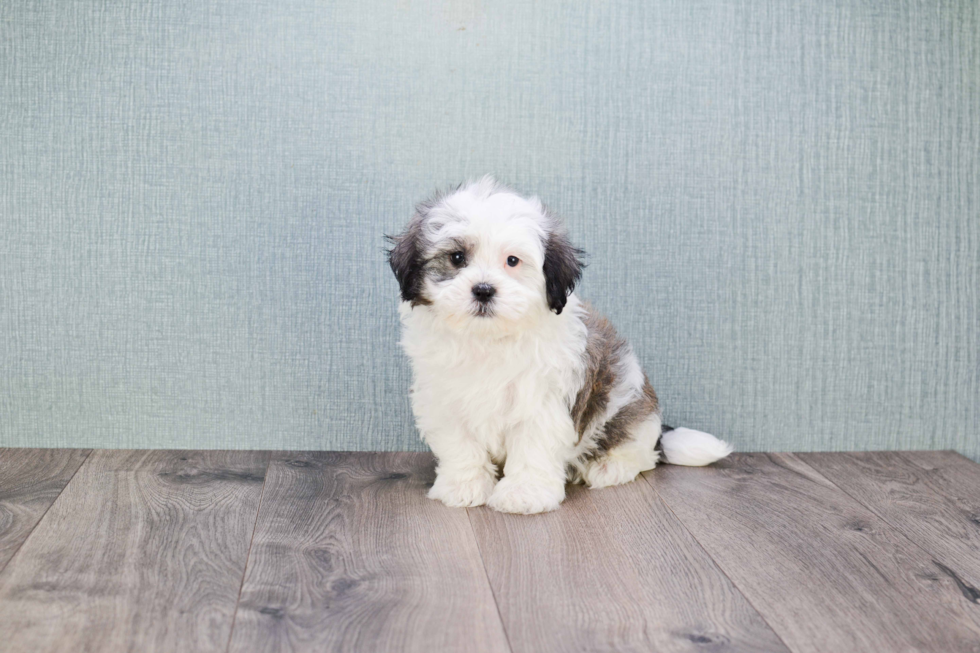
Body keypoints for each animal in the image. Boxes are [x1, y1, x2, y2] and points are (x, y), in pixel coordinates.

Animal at [386, 178, 732, 516]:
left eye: (512, 261)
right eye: (457, 257)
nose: (483, 289)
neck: (489, 338)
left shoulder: (542, 400)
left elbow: (532, 446)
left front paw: (524, 493)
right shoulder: (443, 398)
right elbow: (460, 444)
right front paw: (464, 486)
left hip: (630, 403)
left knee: (638, 449)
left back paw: (609, 466)